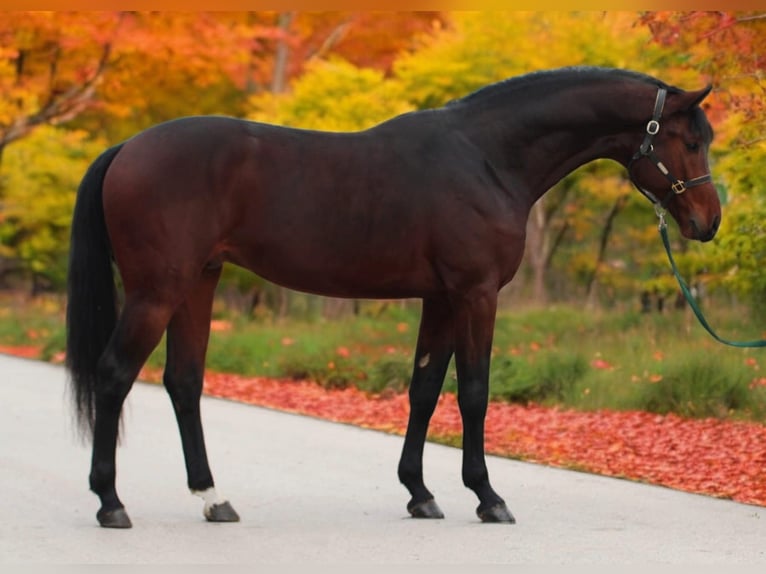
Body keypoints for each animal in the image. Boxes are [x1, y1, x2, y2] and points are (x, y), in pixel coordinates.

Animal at [64, 65, 720, 528]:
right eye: (690, 141)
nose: (709, 222)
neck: (486, 156)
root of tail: (126, 148)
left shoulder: (441, 298)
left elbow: (425, 388)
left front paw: (420, 493)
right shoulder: (476, 294)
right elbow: (475, 393)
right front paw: (487, 497)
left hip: (199, 281)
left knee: (184, 382)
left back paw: (213, 499)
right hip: (157, 290)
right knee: (115, 374)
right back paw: (110, 503)